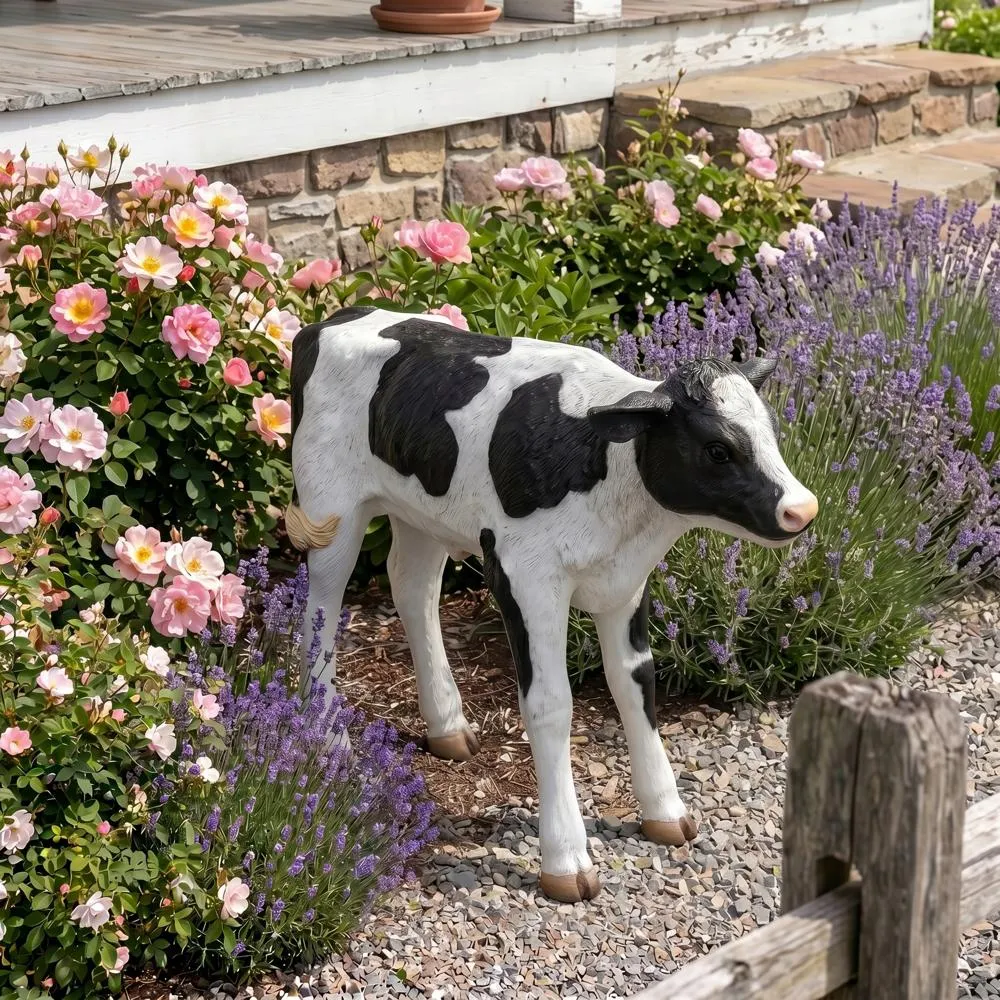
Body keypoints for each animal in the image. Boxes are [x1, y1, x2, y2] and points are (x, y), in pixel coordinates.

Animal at [286, 305, 818, 903]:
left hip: (420, 510)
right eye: (718, 449)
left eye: (770, 431)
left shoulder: (625, 581)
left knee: (412, 586)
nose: (803, 509)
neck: (608, 466)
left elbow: (636, 684)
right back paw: (326, 737)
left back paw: (447, 725)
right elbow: (550, 704)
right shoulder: (525, 576)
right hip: (330, 505)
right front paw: (566, 858)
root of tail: (337, 317)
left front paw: (665, 811)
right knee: (322, 607)